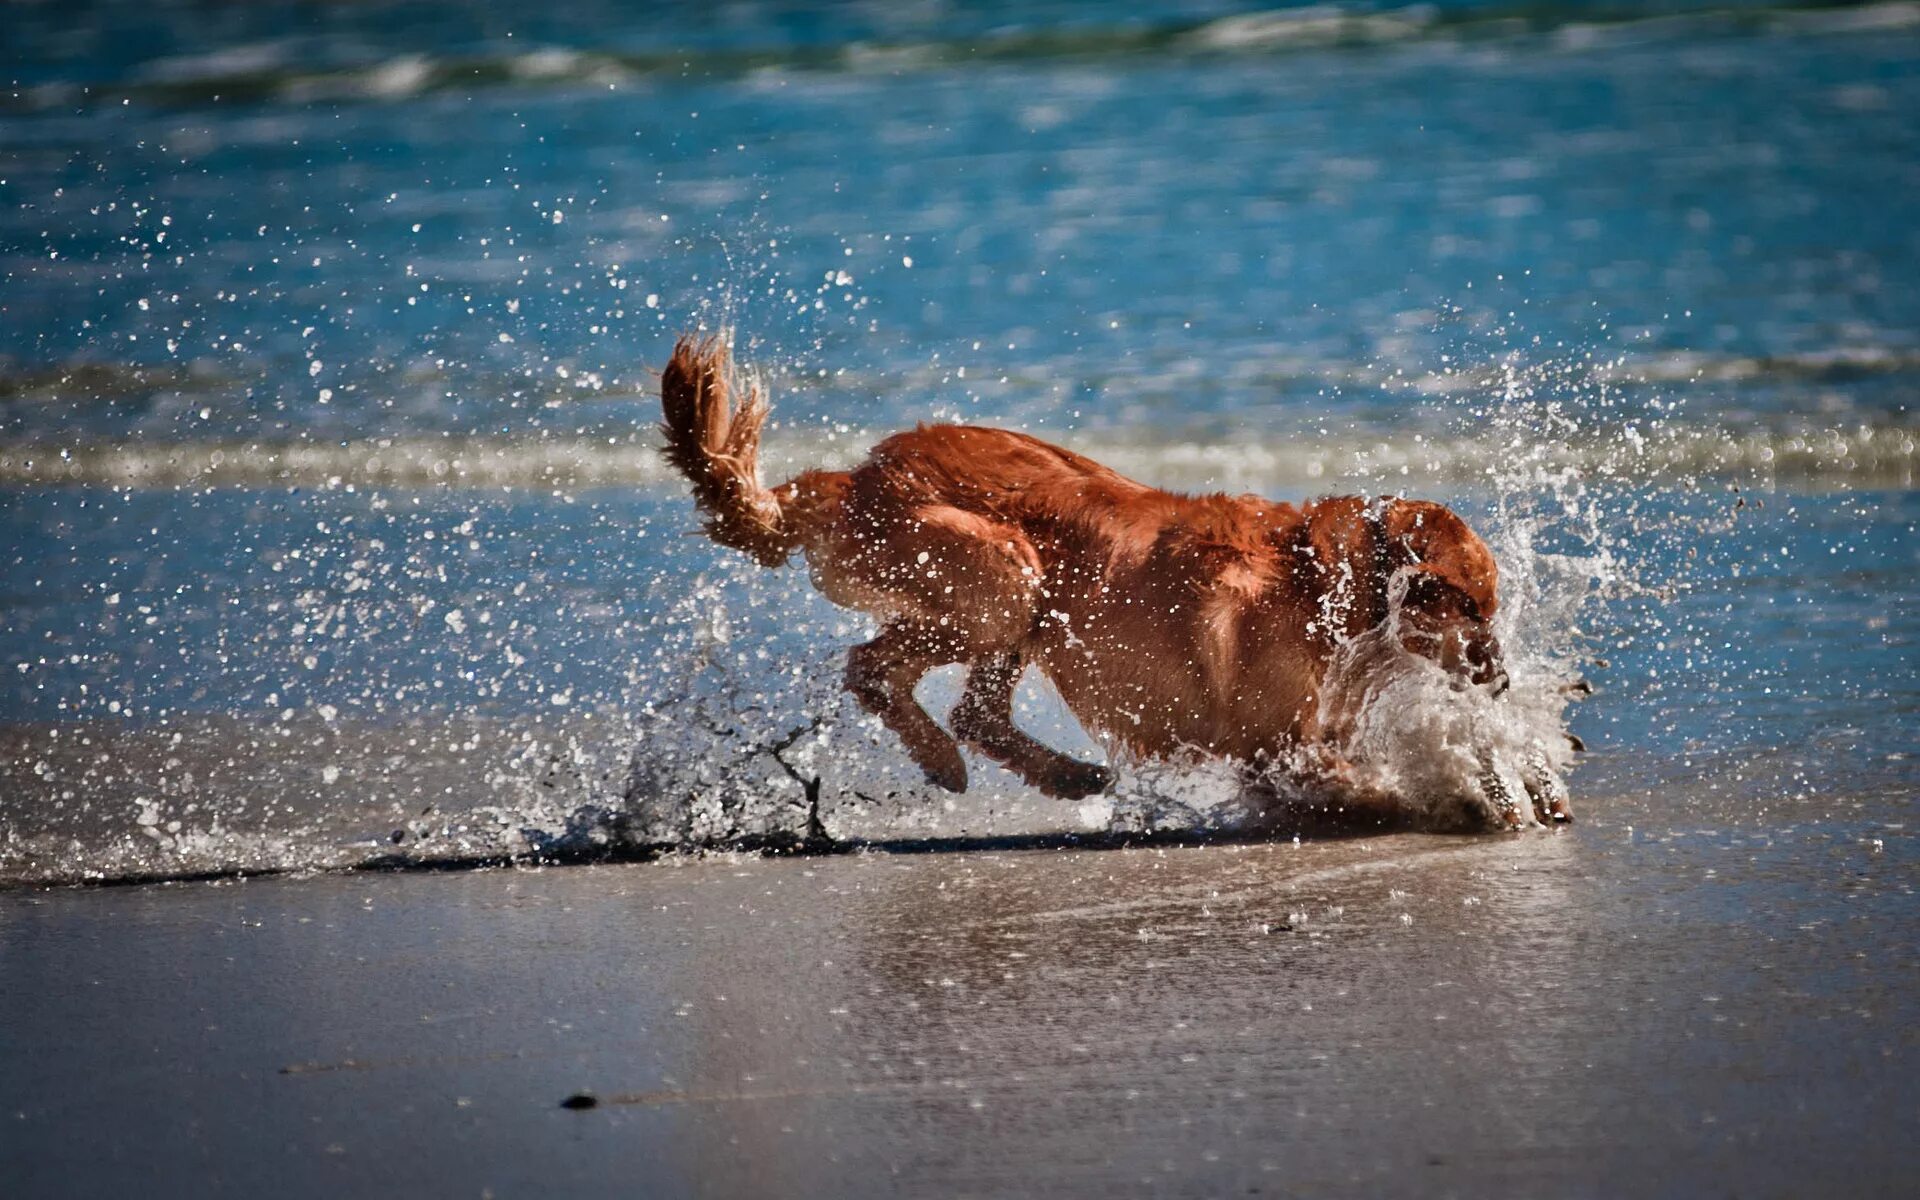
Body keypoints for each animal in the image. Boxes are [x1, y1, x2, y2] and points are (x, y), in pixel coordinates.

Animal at [652, 332, 1566, 829]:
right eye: (1473, 607)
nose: (1501, 677)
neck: (1329, 582)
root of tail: (856, 477)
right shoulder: (1275, 745)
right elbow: (1356, 783)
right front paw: (1459, 803)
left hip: (1026, 606)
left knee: (972, 710)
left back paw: (1064, 775)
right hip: (1007, 575)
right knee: (873, 669)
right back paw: (946, 761)